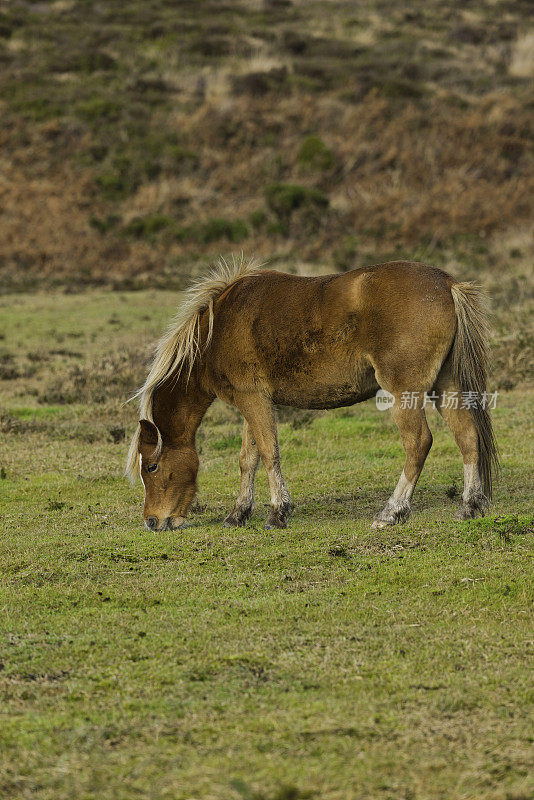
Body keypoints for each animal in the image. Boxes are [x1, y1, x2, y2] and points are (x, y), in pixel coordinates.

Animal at [125, 258, 498, 532]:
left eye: (153, 467)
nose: (152, 522)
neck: (216, 332)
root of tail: (447, 285)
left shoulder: (252, 399)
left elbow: (269, 454)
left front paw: (278, 513)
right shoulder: (253, 401)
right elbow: (249, 458)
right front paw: (238, 515)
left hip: (404, 392)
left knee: (418, 443)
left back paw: (391, 512)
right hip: (446, 386)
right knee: (467, 436)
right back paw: (469, 506)